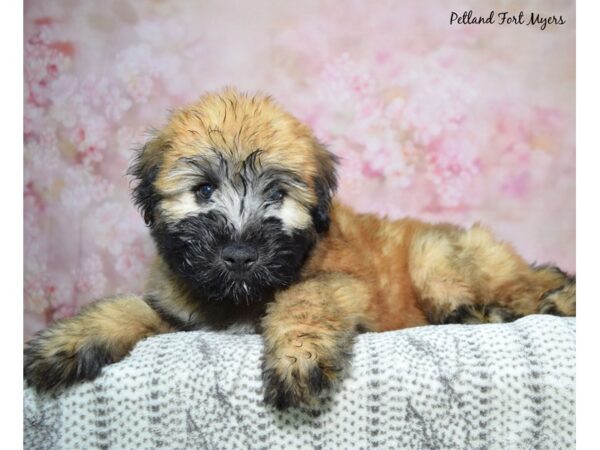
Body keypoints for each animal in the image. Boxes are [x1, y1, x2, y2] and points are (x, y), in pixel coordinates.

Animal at [24, 86, 576, 410]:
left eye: (277, 195)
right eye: (203, 190)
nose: (239, 255)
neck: (241, 299)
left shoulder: (341, 284)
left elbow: (305, 300)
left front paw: (298, 356)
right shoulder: (181, 311)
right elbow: (127, 307)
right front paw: (69, 340)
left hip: (437, 258)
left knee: (518, 287)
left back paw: (540, 301)